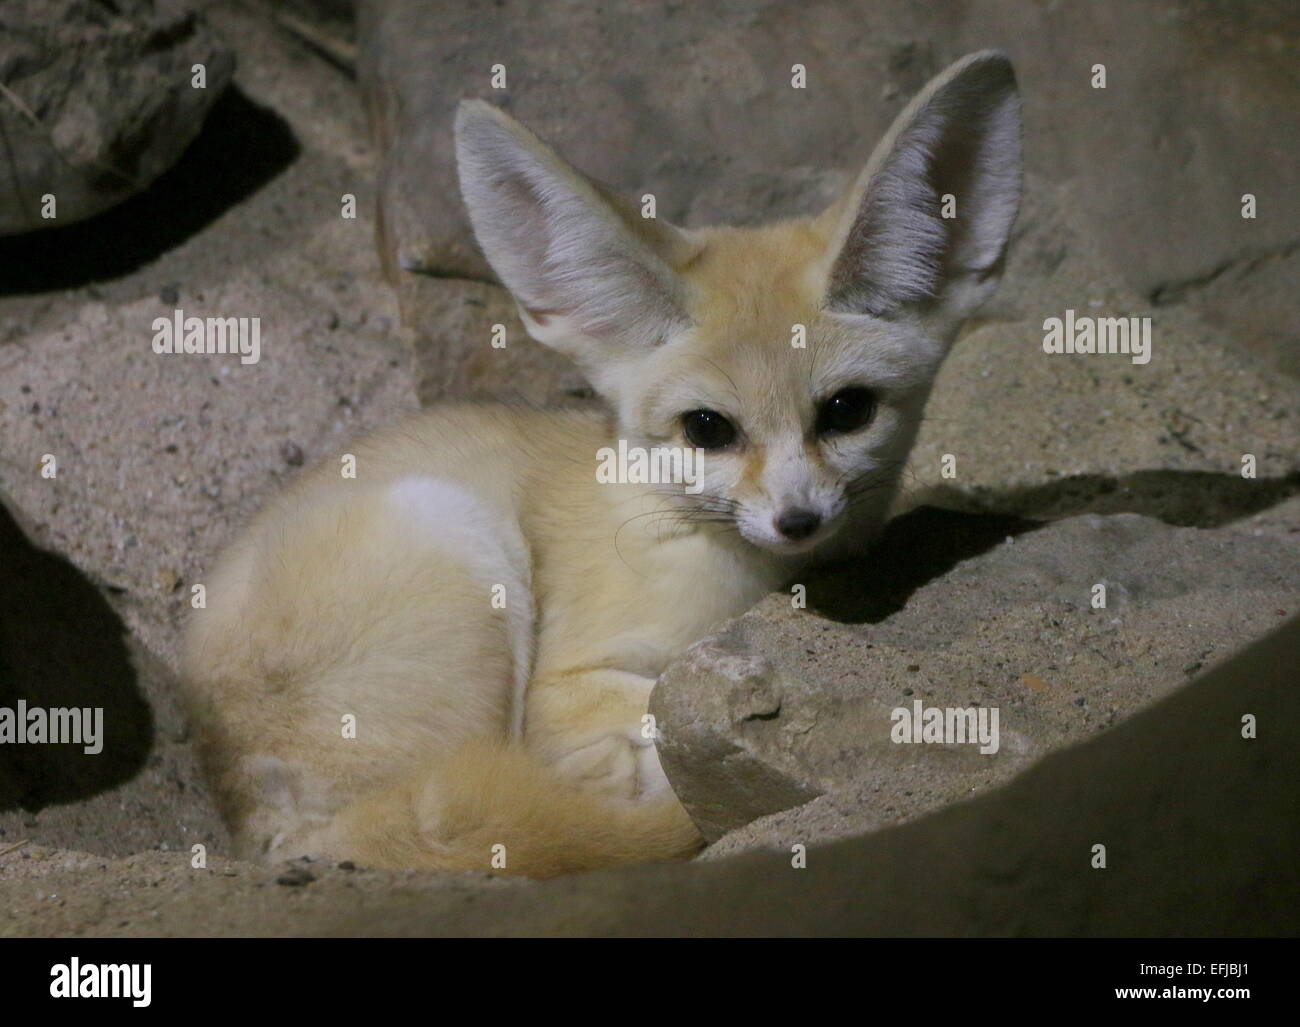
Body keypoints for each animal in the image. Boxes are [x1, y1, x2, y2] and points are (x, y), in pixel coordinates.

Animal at [183, 52, 1019, 878]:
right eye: (708, 429)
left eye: (847, 411)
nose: (797, 519)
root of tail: (259, 829)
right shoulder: (561, 684)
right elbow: (639, 715)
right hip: (462, 548)